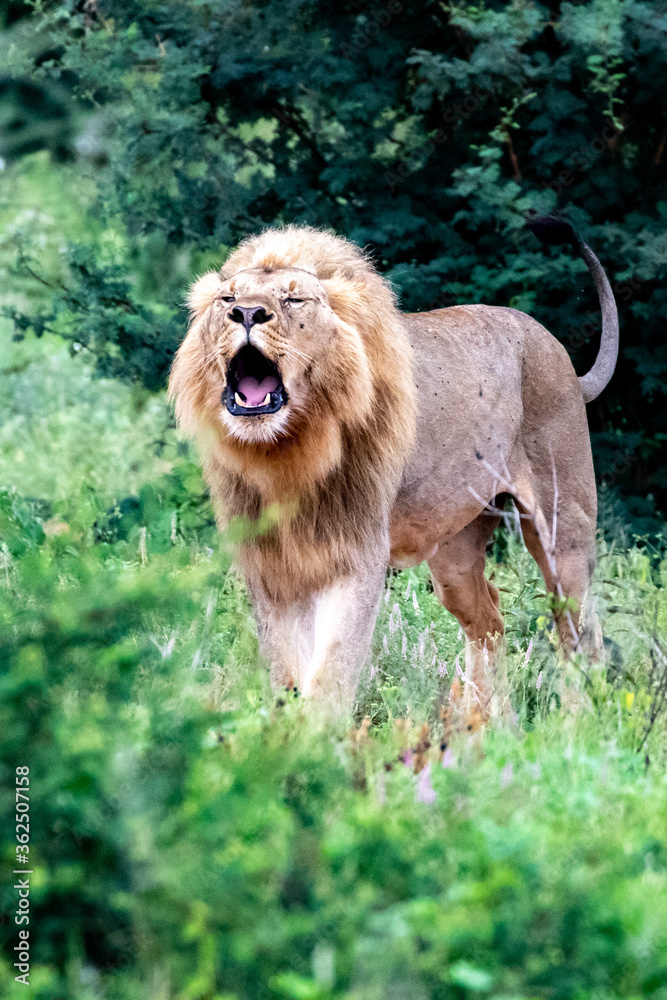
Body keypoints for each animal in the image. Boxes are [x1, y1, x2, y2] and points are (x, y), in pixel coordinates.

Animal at [169, 216, 618, 717]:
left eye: (294, 299)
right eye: (227, 300)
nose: (246, 314)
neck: (285, 454)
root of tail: (564, 360)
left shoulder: (359, 553)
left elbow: (332, 668)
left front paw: (315, 734)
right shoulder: (270, 561)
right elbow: (285, 669)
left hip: (563, 529)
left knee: (580, 633)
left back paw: (578, 722)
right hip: (455, 551)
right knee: (489, 618)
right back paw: (485, 724)